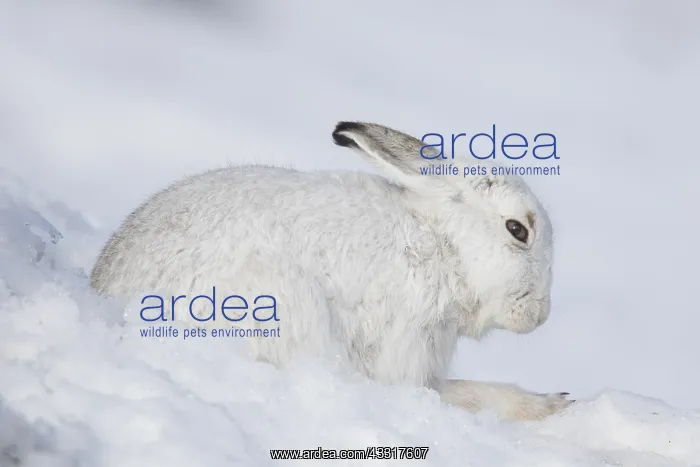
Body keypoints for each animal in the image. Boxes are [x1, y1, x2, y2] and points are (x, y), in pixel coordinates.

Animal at [90, 121, 572, 421]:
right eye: (517, 230)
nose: (540, 315)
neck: (442, 243)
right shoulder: (408, 340)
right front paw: (550, 404)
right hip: (279, 303)